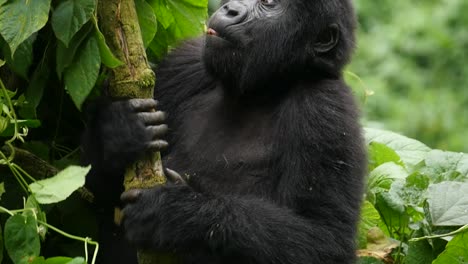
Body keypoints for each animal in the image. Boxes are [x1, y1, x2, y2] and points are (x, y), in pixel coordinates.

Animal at [85, 0, 370, 262]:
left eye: (269, 2)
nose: (230, 8)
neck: (261, 90)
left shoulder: (326, 106)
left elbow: (326, 239)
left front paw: (174, 213)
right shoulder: (186, 61)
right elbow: (95, 194)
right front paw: (119, 133)